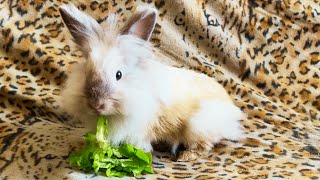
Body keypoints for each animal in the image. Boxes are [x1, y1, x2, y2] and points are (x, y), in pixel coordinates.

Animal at [58, 3, 242, 160]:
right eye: (86, 71)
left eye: (118, 74)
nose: (96, 105)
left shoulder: (138, 129)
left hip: (198, 125)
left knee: (204, 145)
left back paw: (186, 156)